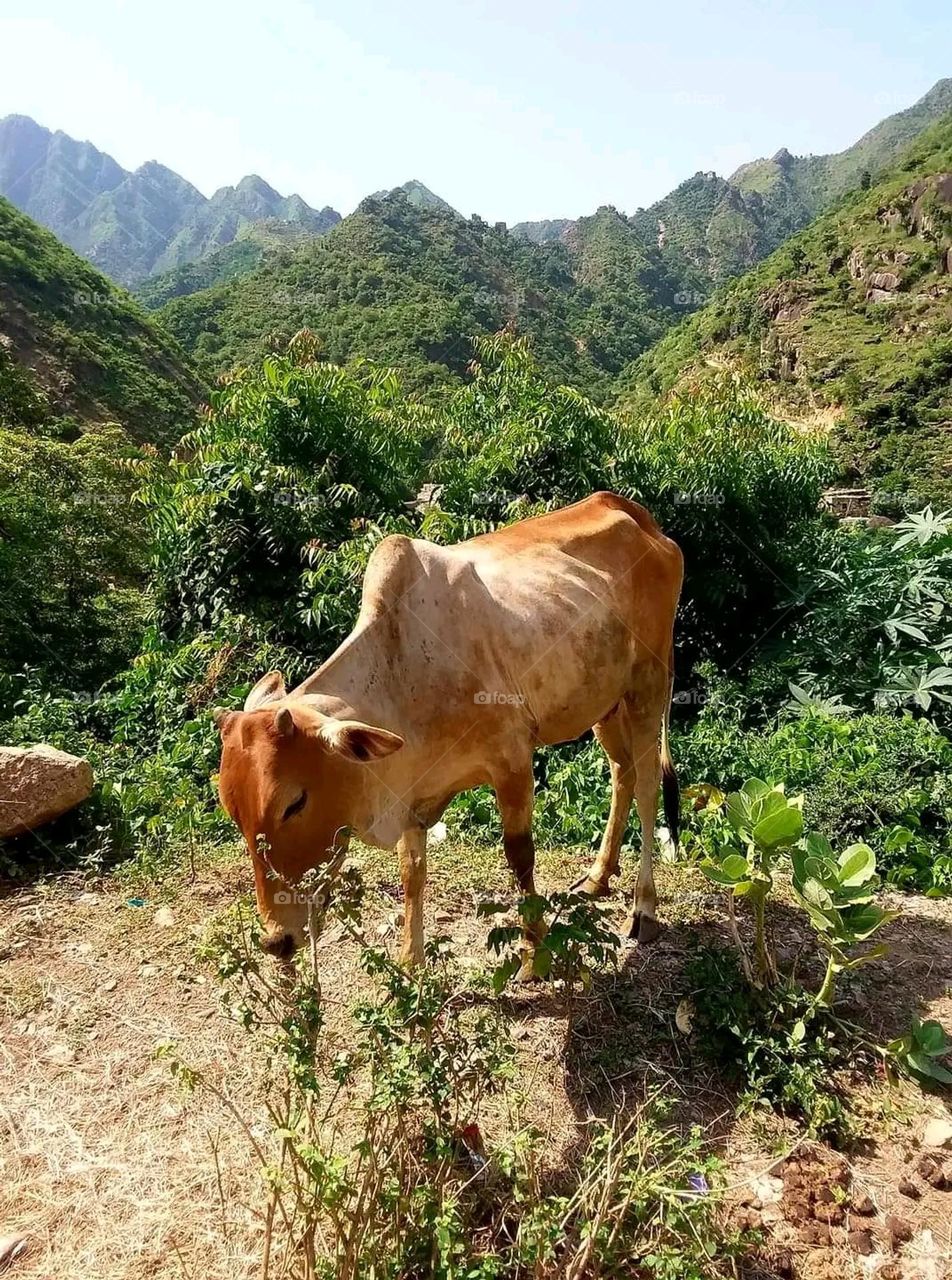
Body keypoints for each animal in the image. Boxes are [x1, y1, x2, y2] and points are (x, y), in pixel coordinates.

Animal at [214, 491, 683, 973]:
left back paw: (644, 908)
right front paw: (410, 960)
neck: (402, 672)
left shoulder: (512, 760)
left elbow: (520, 857)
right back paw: (598, 876)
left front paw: (534, 953)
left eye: (295, 803)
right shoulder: (412, 791)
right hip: (603, 703)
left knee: (648, 787)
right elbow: (411, 871)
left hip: (649, 685)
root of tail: (634, 514)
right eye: (233, 812)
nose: (277, 940)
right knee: (622, 774)